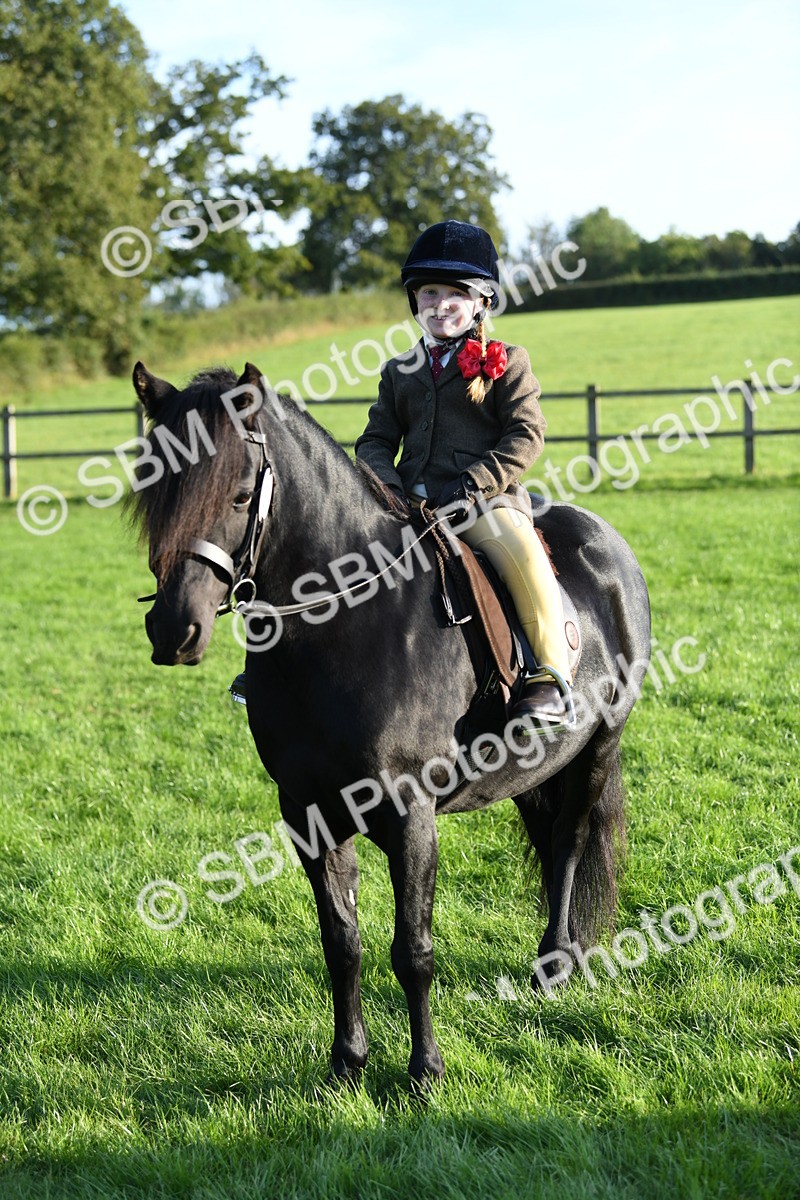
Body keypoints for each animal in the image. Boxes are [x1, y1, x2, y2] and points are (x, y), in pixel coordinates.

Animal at [128, 360, 651, 1088]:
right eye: (155, 492)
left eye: (238, 494)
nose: (174, 629)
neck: (345, 627)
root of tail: (606, 542)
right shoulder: (307, 812)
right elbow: (341, 942)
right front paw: (347, 1062)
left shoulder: (410, 813)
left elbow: (413, 949)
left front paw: (424, 1071)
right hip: (531, 769)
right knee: (548, 842)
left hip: (598, 747)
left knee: (570, 840)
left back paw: (555, 962)